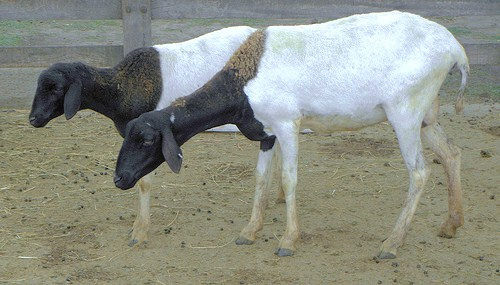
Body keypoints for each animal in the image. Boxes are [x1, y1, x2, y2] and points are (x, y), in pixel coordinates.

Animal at [28, 25, 270, 245]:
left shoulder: (150, 141)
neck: (120, 88)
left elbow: (144, 183)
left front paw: (139, 231)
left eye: (56, 88)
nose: (33, 119)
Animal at [113, 10, 468, 258]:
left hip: (406, 113)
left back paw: (392, 243)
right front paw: (249, 231)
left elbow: (288, 179)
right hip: (426, 115)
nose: (119, 179)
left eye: (146, 139)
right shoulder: (267, 132)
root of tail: (456, 50)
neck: (243, 81)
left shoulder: (287, 124)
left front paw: (288, 240)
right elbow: (261, 178)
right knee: (451, 153)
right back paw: (451, 224)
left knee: (420, 172)